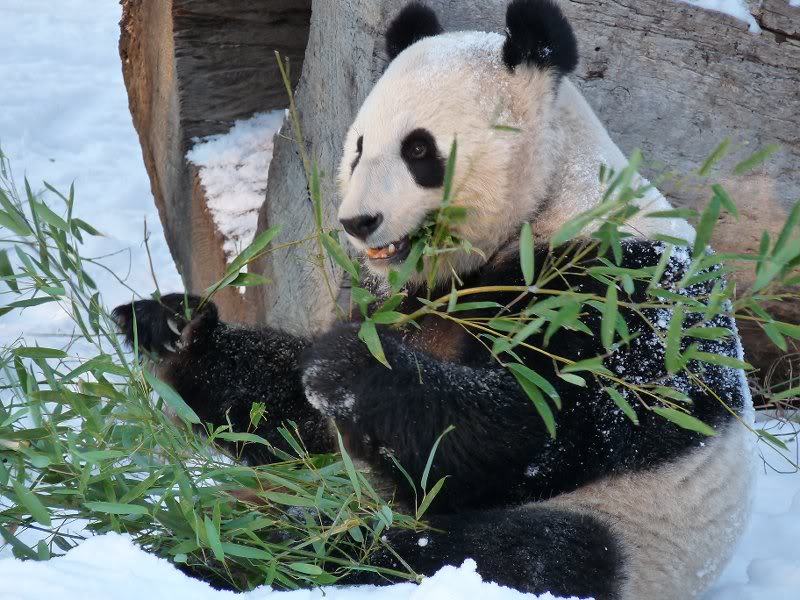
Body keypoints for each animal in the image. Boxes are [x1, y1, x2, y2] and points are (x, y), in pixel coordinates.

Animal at [113, 1, 754, 599]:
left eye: (419, 150)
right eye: (358, 148)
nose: (359, 221)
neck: (546, 205)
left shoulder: (621, 294)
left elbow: (536, 429)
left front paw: (348, 367)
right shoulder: (409, 301)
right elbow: (297, 421)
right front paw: (172, 329)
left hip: (635, 531)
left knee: (503, 553)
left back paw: (250, 557)